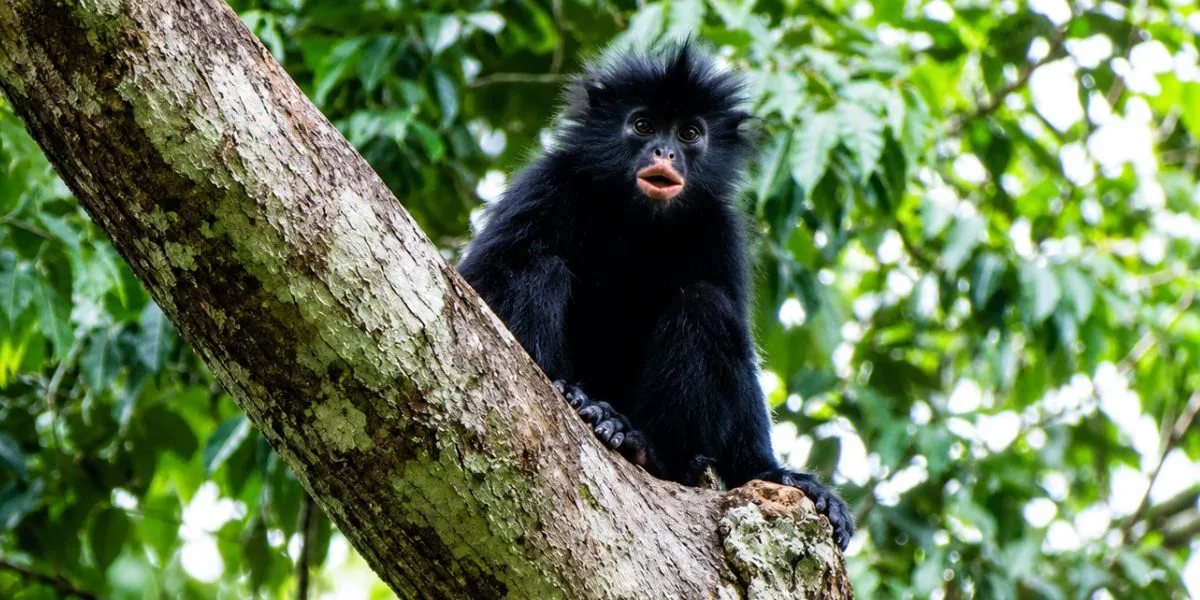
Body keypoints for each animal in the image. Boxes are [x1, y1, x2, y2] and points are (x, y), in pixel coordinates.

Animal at [457, 40, 853, 550]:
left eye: (689, 133)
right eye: (643, 125)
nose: (664, 151)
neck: (638, 222)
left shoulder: (717, 229)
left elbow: (739, 348)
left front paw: (774, 473)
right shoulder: (546, 184)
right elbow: (479, 280)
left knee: (705, 304)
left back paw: (643, 446)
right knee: (535, 265)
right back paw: (574, 395)